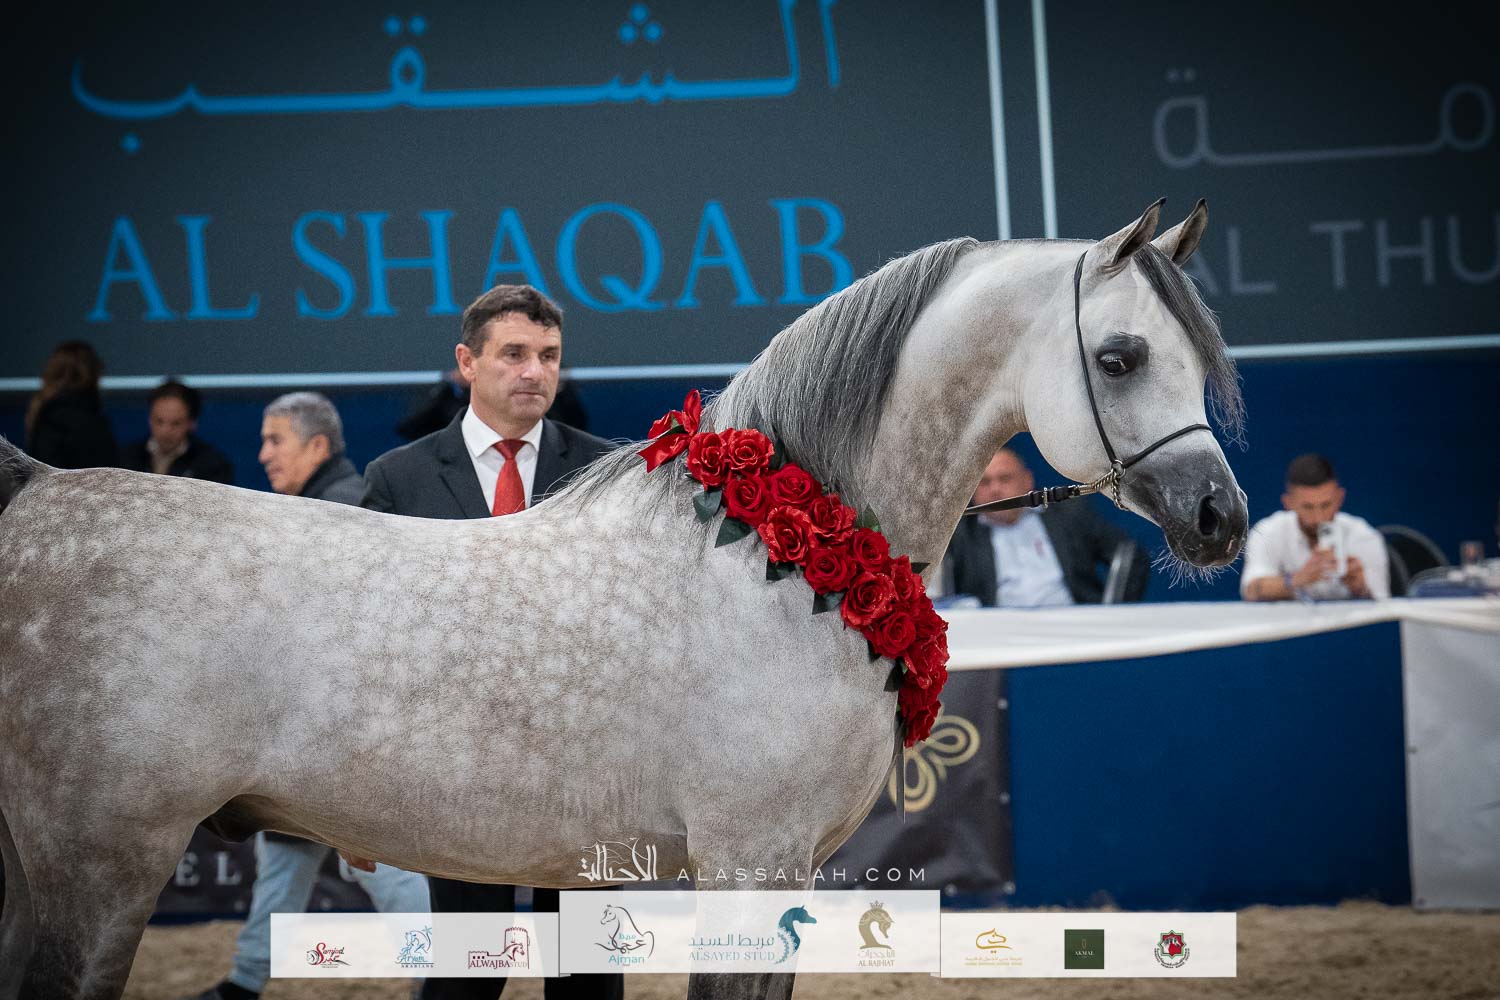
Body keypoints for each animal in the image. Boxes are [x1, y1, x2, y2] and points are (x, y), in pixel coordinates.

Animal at [0, 198, 1247, 1000]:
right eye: (1123, 356)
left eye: (1203, 357)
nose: (1220, 516)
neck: (774, 556)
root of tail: (36, 497)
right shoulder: (749, 864)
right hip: (98, 870)